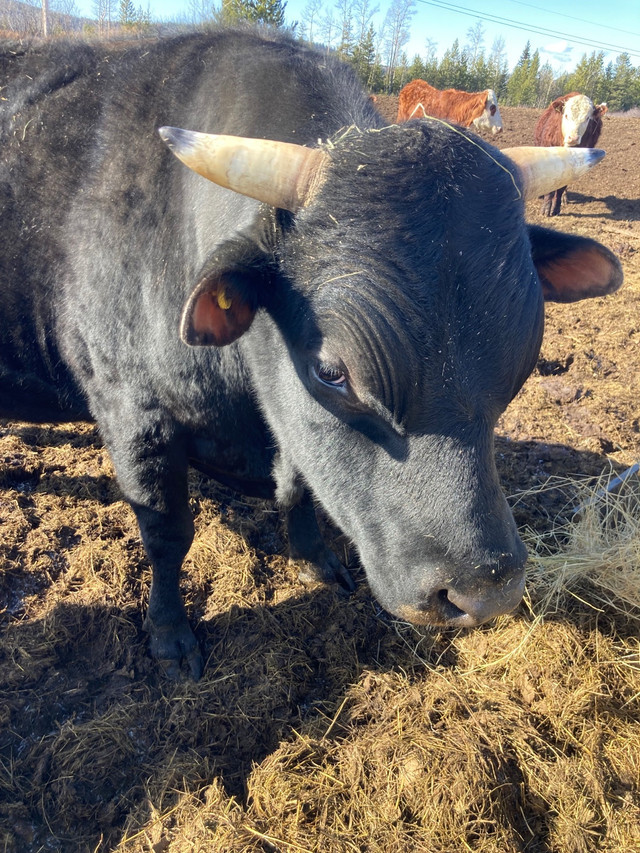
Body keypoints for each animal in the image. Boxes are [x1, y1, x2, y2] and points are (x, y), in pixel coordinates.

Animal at [0, 28, 620, 680]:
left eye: (522, 364)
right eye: (331, 371)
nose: (484, 592)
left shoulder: (286, 426)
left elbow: (297, 486)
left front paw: (315, 560)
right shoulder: (134, 414)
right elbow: (167, 532)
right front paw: (170, 635)